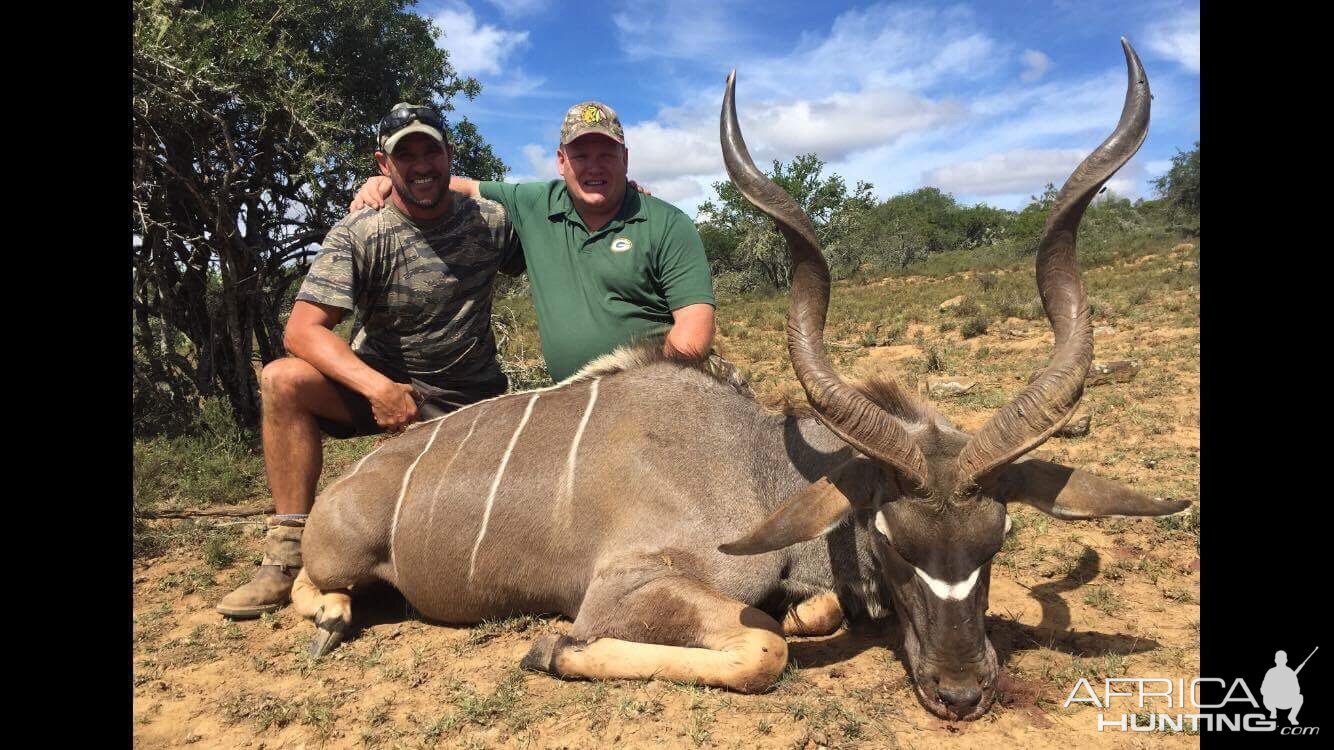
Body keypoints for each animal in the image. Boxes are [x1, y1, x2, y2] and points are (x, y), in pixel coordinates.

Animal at [294, 40, 1189, 720]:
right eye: (894, 541)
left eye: (997, 539)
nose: (964, 692)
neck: (755, 467)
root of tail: (355, 482)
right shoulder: (622, 589)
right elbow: (762, 647)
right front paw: (549, 649)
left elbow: (804, 614)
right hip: (343, 552)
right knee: (315, 581)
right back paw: (329, 614)